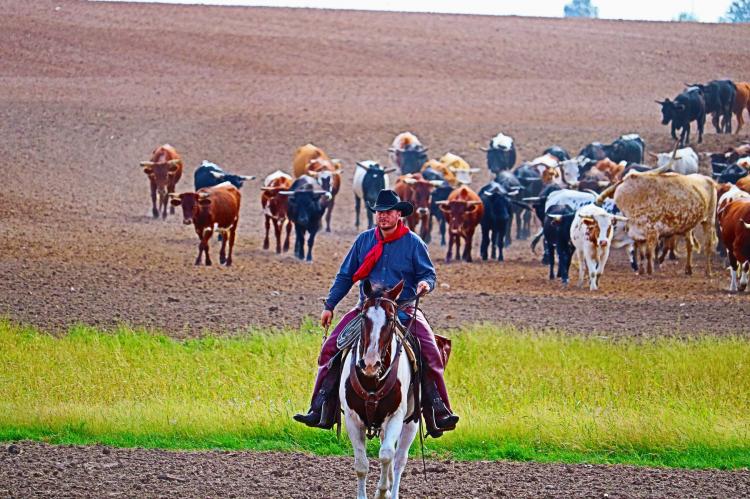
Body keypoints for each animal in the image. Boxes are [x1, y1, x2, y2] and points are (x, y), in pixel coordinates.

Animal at [342, 282, 420, 499]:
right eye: (363, 316)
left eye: (391, 318)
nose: (370, 364)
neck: (372, 381)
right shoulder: (352, 419)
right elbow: (361, 464)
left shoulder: (396, 416)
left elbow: (386, 455)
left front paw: (382, 492)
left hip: (411, 423)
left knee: (399, 459)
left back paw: (392, 492)